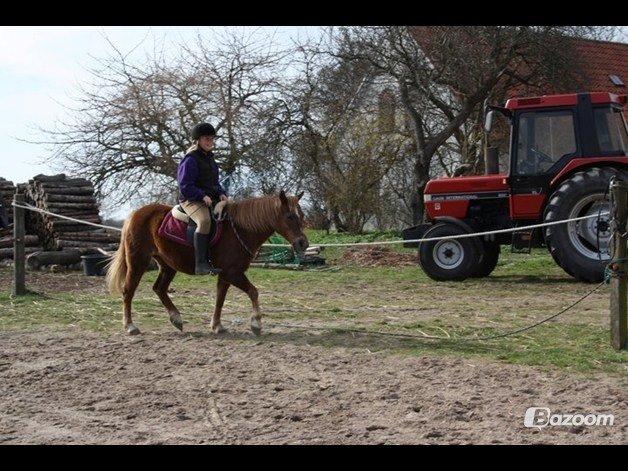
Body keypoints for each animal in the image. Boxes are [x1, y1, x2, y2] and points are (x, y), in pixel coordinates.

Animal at [107, 190, 310, 338]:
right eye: (290, 216)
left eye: (301, 215)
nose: (303, 244)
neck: (240, 230)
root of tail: (135, 215)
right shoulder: (233, 273)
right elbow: (253, 291)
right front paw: (256, 324)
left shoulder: (226, 275)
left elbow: (220, 298)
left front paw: (217, 326)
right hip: (137, 263)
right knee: (128, 291)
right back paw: (130, 326)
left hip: (168, 265)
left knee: (159, 289)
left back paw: (176, 318)